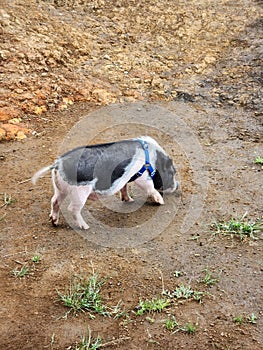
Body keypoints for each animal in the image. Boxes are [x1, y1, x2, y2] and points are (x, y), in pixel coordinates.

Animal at [32, 136, 178, 230]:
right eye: (172, 172)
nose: (177, 187)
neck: (151, 158)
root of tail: (57, 164)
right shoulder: (141, 176)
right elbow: (150, 187)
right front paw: (161, 202)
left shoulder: (124, 178)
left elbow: (124, 187)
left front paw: (129, 200)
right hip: (80, 192)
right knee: (72, 208)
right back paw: (86, 227)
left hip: (60, 188)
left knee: (54, 201)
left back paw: (54, 222)